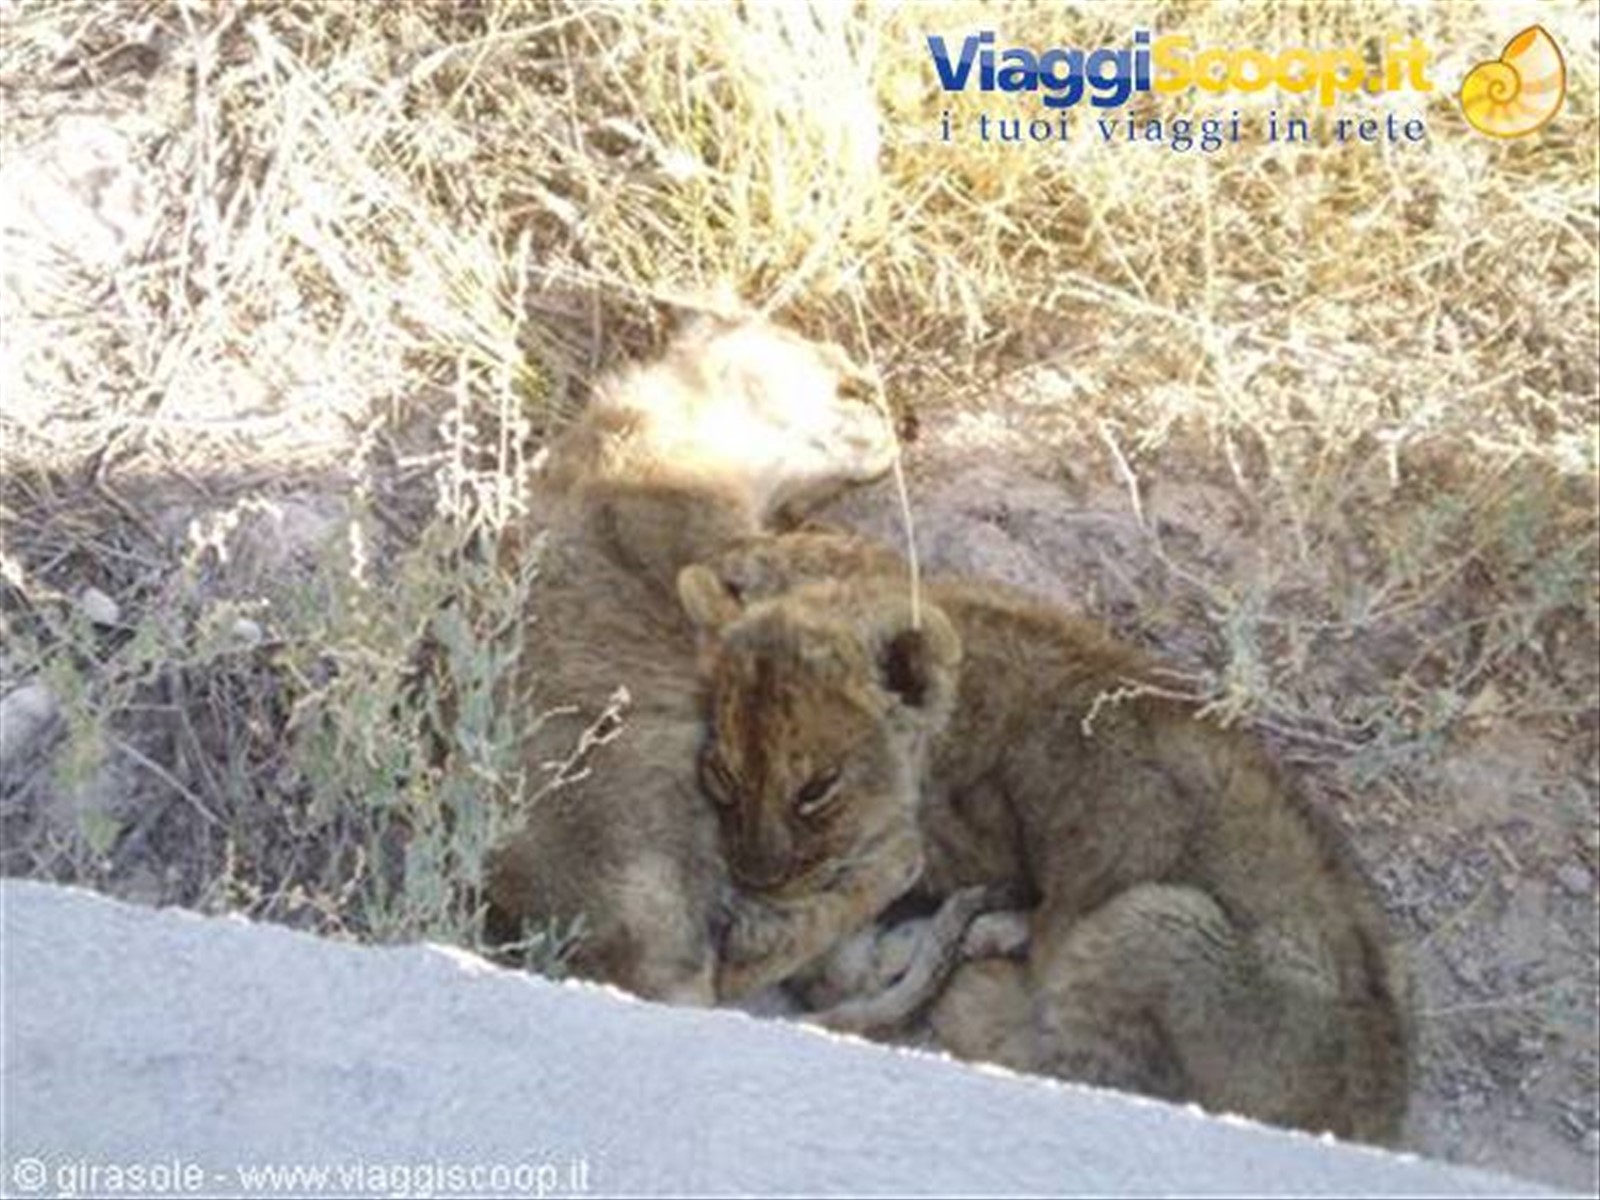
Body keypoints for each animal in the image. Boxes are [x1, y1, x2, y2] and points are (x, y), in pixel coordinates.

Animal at [676, 535, 1412, 1143]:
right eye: (725, 775)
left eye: (817, 789)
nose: (754, 877)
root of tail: (1375, 1110)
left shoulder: (955, 847)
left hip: (1158, 918)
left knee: (1063, 1066)